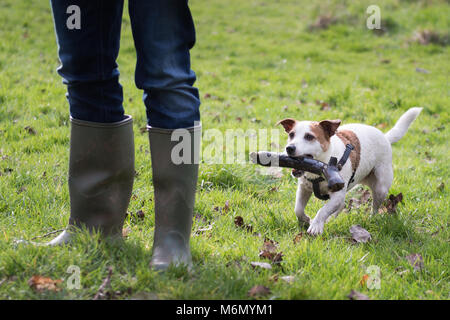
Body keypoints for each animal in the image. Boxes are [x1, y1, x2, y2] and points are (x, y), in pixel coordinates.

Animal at [278, 107, 422, 235]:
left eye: (309, 136)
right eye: (291, 135)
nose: (289, 148)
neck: (322, 165)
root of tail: (385, 137)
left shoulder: (337, 194)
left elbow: (323, 210)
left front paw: (316, 225)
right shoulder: (304, 188)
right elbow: (298, 209)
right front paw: (306, 219)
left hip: (381, 187)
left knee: (374, 207)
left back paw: (372, 218)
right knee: (341, 205)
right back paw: (330, 219)